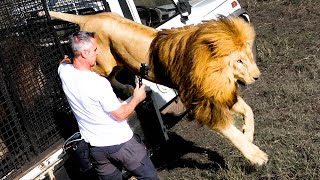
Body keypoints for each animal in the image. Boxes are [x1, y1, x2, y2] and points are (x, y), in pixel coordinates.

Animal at [48, 10, 268, 165]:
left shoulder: (215, 93)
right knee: (94, 73)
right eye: (239, 60)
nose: (257, 76)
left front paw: (248, 133)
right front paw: (255, 155)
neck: (219, 75)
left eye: (249, 56)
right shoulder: (200, 100)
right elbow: (230, 132)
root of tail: (88, 17)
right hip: (101, 64)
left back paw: (127, 89)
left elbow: (248, 111)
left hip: (117, 62)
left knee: (111, 78)